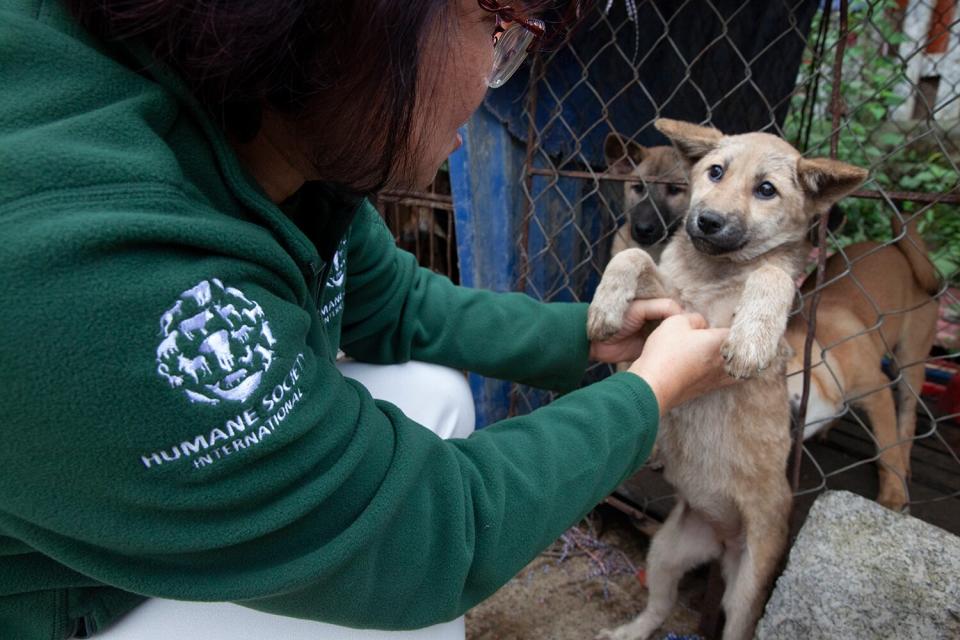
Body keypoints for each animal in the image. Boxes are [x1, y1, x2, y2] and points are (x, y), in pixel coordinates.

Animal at [788, 215, 936, 510]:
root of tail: (896, 248)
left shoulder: (879, 394)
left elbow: (887, 450)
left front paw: (893, 495)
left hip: (910, 360)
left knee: (908, 415)